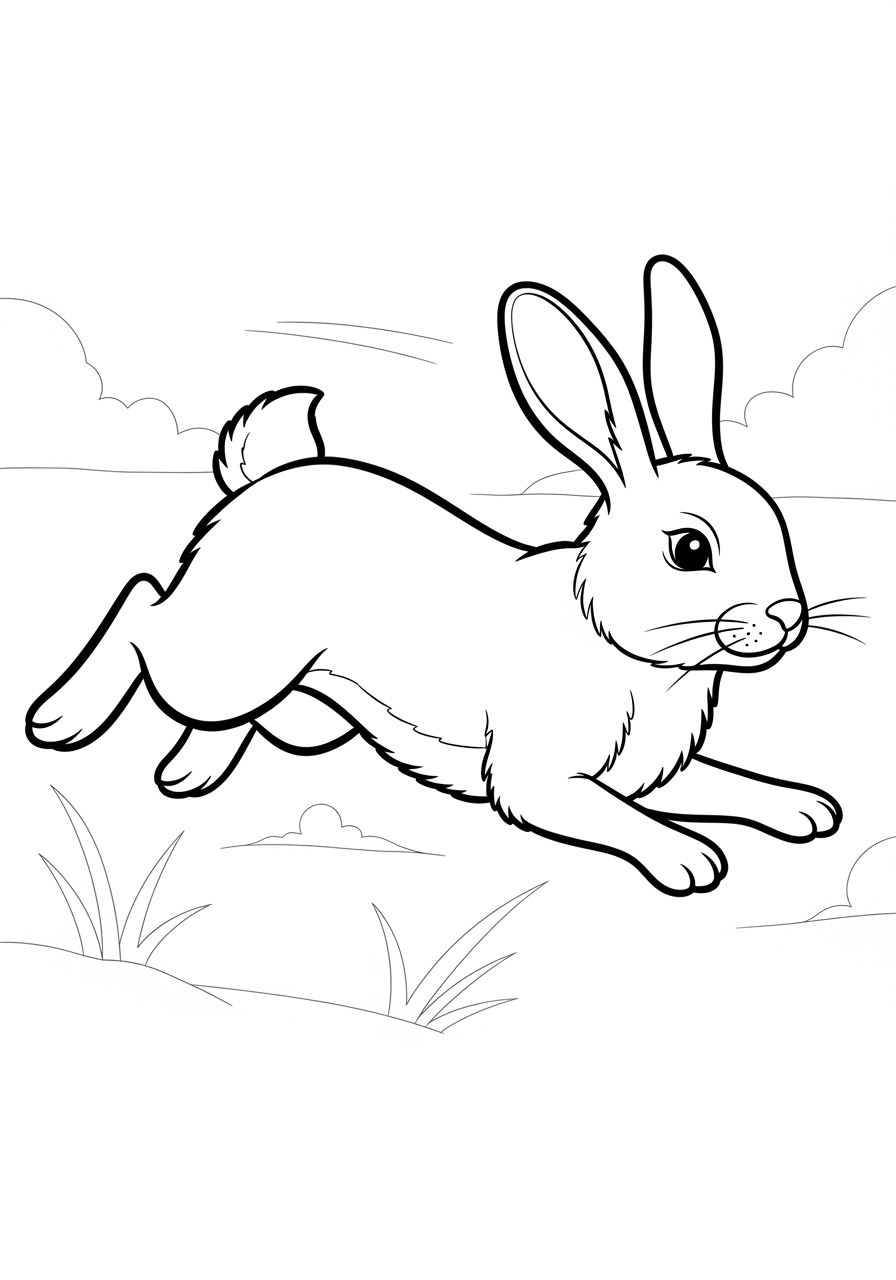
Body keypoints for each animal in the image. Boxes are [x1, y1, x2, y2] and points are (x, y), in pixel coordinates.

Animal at [26, 256, 842, 895]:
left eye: (778, 526)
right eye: (690, 550)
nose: (786, 617)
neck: (616, 649)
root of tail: (259, 483)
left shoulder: (655, 770)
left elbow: (724, 781)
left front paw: (805, 809)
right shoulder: (540, 779)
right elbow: (617, 817)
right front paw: (688, 858)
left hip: (296, 703)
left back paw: (188, 770)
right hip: (223, 657)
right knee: (141, 607)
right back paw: (61, 719)